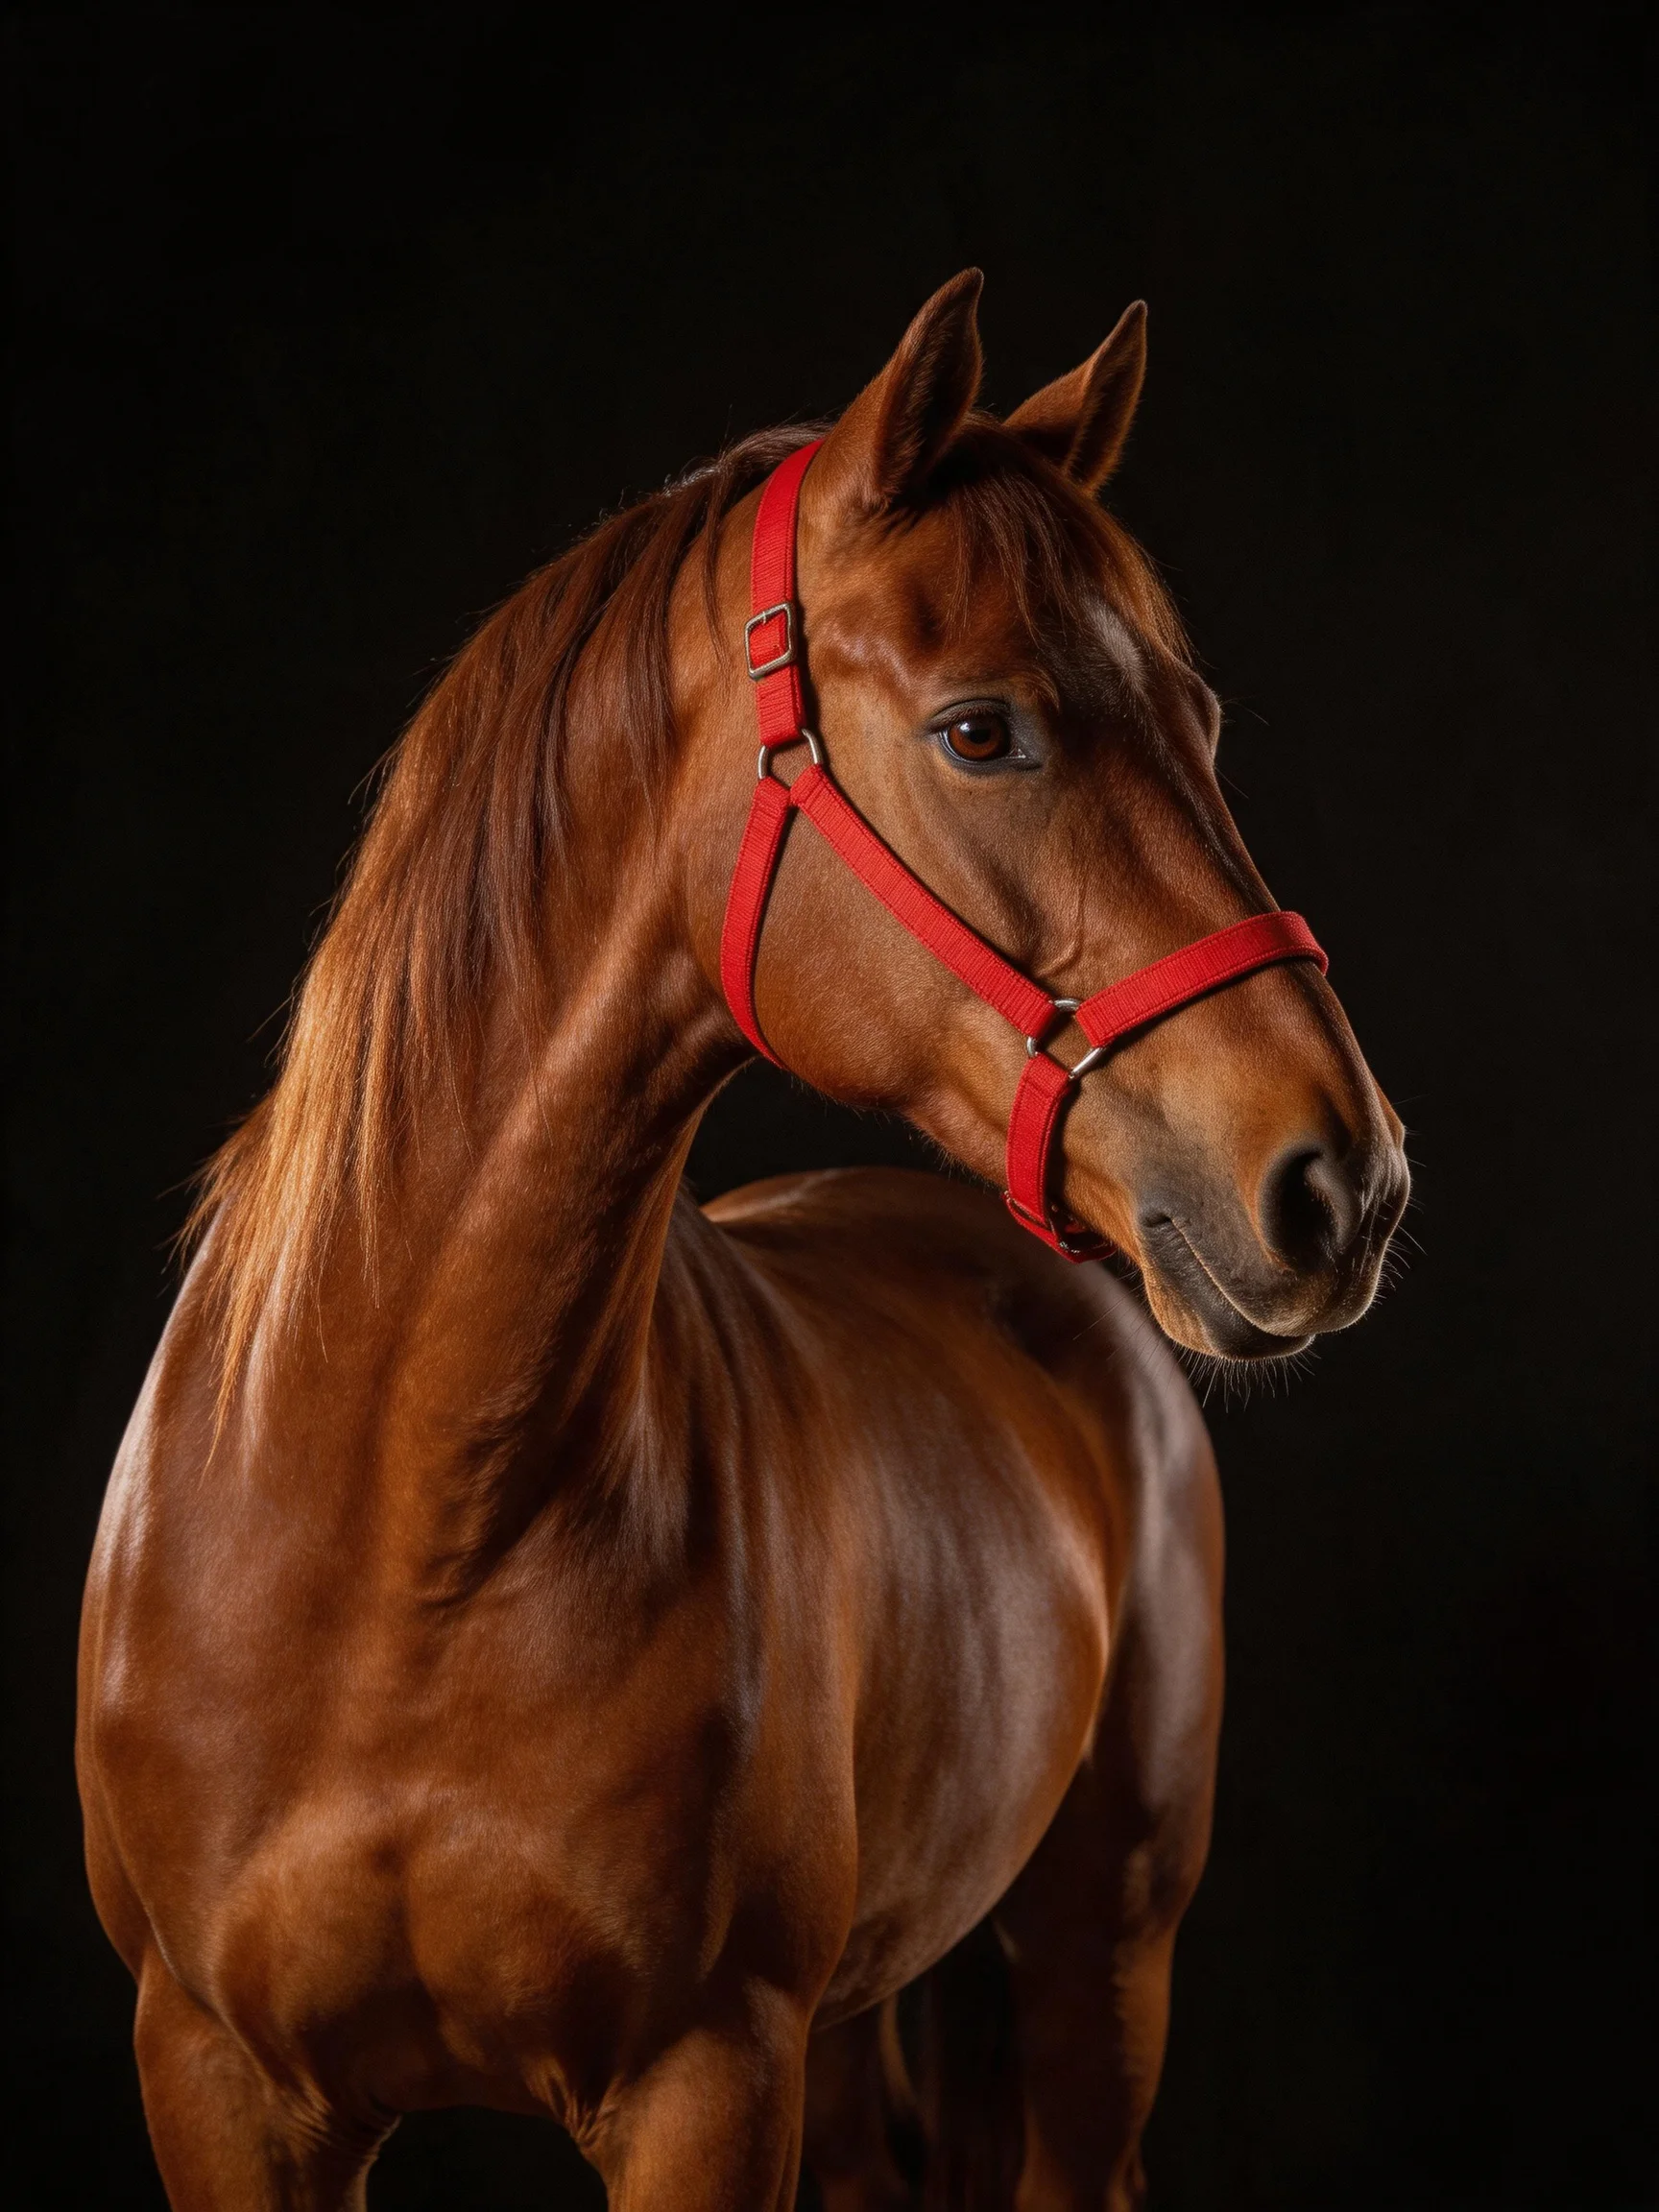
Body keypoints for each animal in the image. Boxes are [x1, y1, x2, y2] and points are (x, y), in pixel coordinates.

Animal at [77, 270, 1408, 2210]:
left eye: (1202, 719)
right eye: (981, 728)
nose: (1341, 1180)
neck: (400, 1520)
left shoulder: (706, 2078)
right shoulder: (220, 2081)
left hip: (1096, 1970)